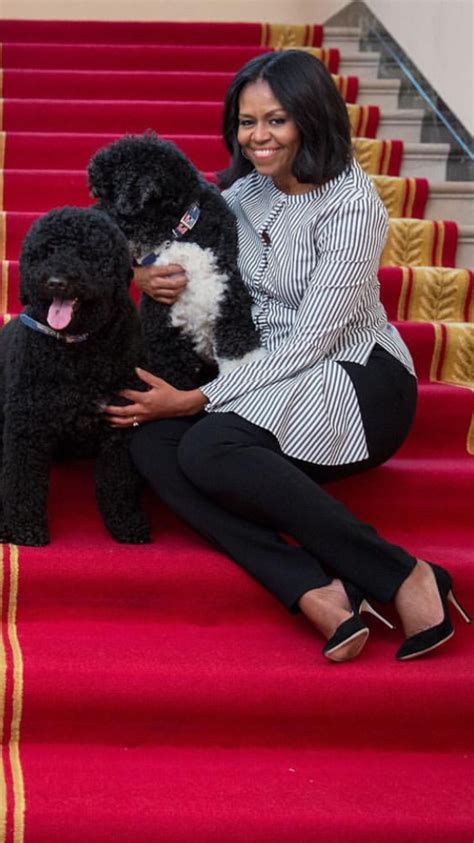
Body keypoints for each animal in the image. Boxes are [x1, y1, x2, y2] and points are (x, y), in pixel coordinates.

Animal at [0, 208, 150, 544]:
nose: (56, 282)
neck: (74, 349)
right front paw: (23, 528)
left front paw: (125, 524)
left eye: (86, 253)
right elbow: (22, 482)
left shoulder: (120, 426)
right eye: (46, 252)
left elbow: (118, 482)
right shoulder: (27, 424)